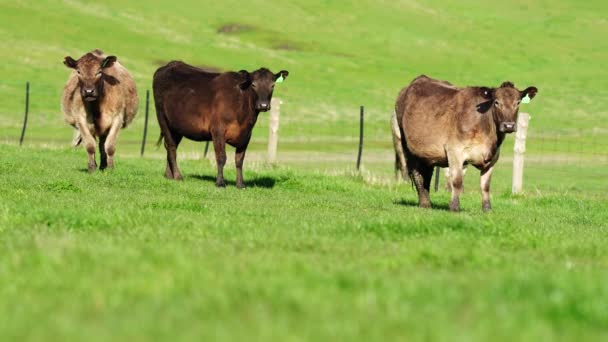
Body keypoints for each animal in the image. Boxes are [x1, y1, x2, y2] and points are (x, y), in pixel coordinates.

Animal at [150, 62, 288, 188]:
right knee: (172, 147)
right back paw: (178, 176)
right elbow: (221, 157)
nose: (263, 105)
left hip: (177, 126)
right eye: (253, 85)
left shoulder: (247, 135)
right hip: (162, 118)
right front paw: (220, 182)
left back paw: (169, 175)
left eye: (273, 85)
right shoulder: (218, 130)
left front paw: (240, 184)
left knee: (171, 146)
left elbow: (239, 160)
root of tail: (168, 65)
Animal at [394, 75, 536, 211]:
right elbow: (457, 181)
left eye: (518, 102)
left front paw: (487, 209)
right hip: (408, 147)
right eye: (496, 102)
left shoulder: (493, 157)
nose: (508, 126)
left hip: (428, 153)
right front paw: (454, 206)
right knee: (417, 173)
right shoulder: (454, 150)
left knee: (427, 174)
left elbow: (485, 185)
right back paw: (424, 204)